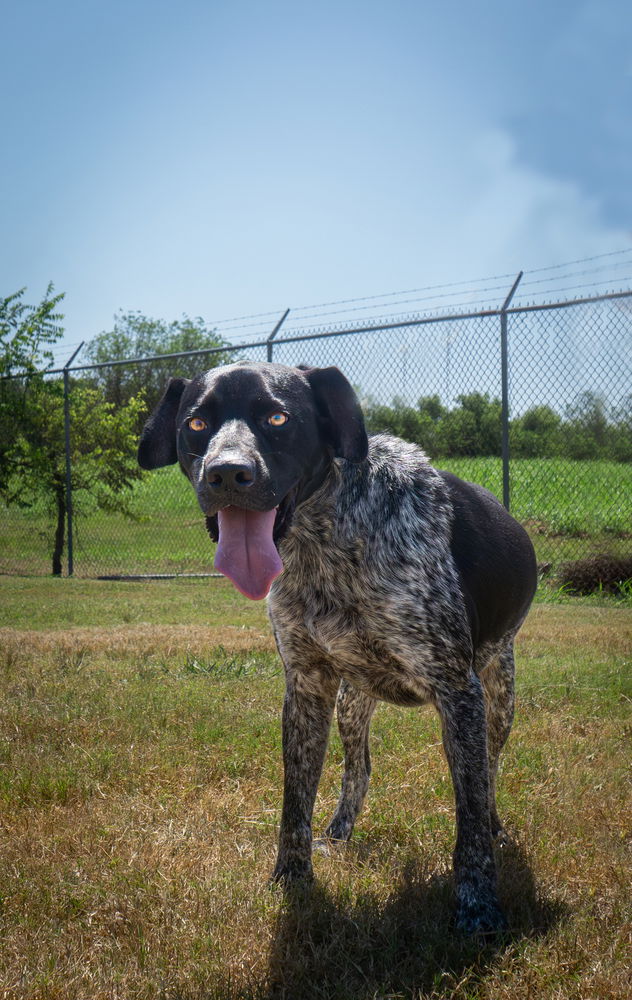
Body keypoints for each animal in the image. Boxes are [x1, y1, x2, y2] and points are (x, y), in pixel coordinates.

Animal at [138, 364, 540, 932]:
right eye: (196, 423)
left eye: (278, 417)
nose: (226, 474)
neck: (324, 544)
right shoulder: (307, 686)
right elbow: (295, 803)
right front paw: (291, 881)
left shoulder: (458, 691)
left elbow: (471, 813)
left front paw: (478, 905)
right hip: (353, 701)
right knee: (360, 767)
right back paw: (340, 831)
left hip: (499, 696)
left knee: (489, 772)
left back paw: (495, 826)